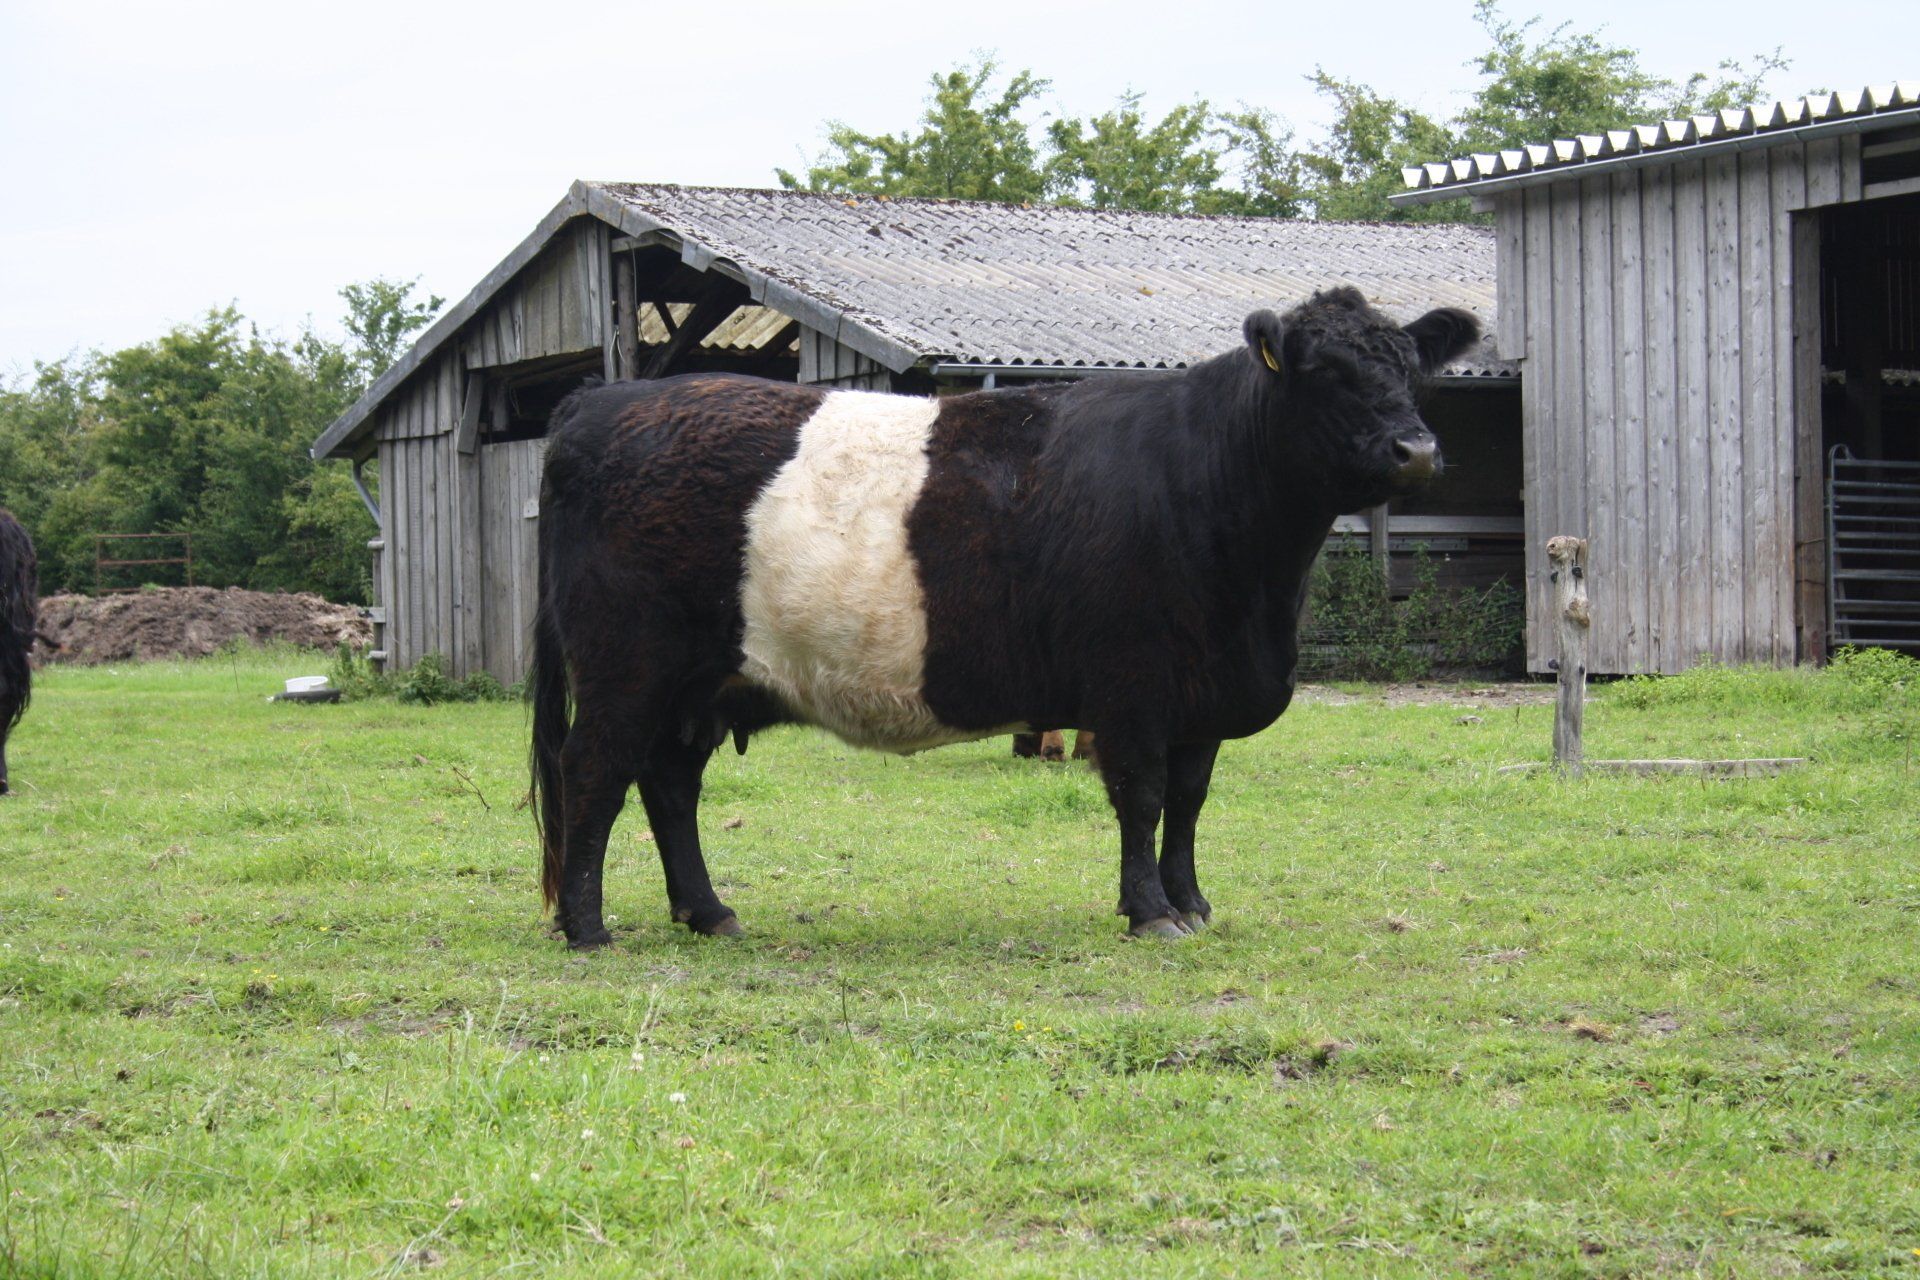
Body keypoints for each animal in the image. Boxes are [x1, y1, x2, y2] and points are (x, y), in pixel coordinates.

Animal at [527, 286, 1479, 947]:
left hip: (700, 682)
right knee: (594, 772)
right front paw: (1150, 913)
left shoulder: (1203, 695)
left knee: (668, 783)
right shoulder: (1132, 683)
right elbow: (1142, 796)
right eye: (1325, 374)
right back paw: (588, 927)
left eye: (1410, 369)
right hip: (625, 664)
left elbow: (1189, 800)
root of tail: (602, 400)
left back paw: (708, 911)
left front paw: (1193, 903)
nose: (1417, 450)